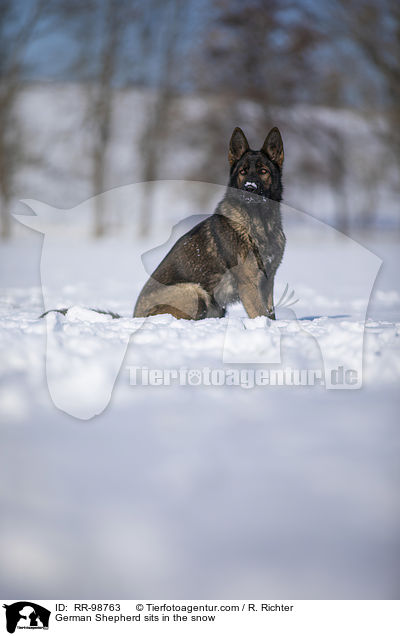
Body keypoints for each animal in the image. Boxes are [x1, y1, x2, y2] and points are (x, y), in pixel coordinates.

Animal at [134, 127, 284, 320]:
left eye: (263, 171)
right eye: (242, 172)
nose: (249, 188)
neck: (261, 224)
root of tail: (134, 315)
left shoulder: (268, 281)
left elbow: (270, 313)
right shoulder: (249, 284)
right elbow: (261, 314)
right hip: (195, 291)